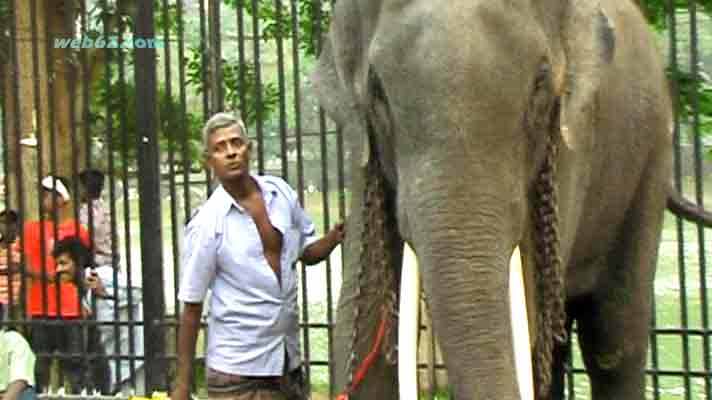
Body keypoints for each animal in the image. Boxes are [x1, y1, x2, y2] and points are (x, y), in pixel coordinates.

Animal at [314, 0, 712, 400]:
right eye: (376, 91)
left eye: (540, 84)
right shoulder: (365, 159)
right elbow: (359, 320)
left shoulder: (571, 142)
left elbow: (531, 314)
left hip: (650, 159)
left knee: (612, 340)